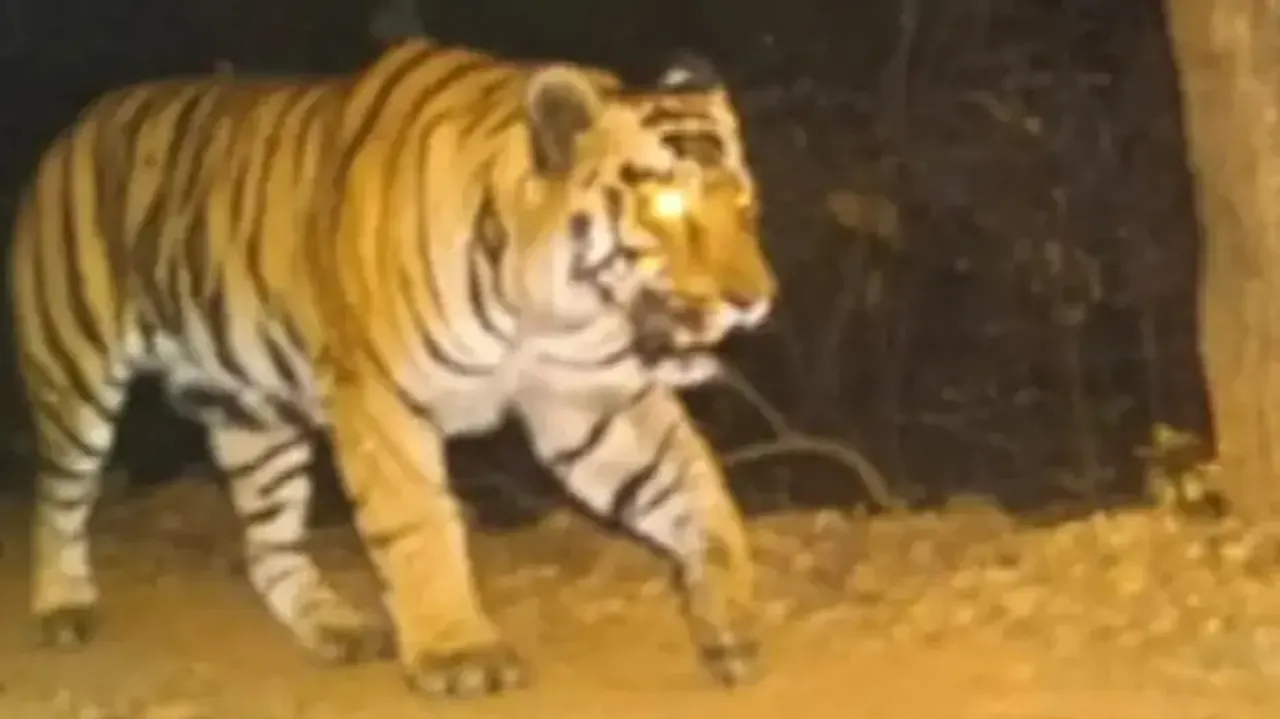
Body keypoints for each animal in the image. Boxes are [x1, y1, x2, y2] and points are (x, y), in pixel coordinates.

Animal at [11, 38, 777, 697]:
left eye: (745, 205)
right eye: (667, 204)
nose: (757, 302)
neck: (544, 308)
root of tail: (79, 122)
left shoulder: (590, 394)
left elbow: (692, 483)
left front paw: (730, 613)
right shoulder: (381, 394)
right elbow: (418, 522)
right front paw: (458, 651)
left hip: (255, 415)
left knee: (269, 545)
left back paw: (335, 627)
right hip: (75, 369)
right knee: (58, 495)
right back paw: (61, 604)